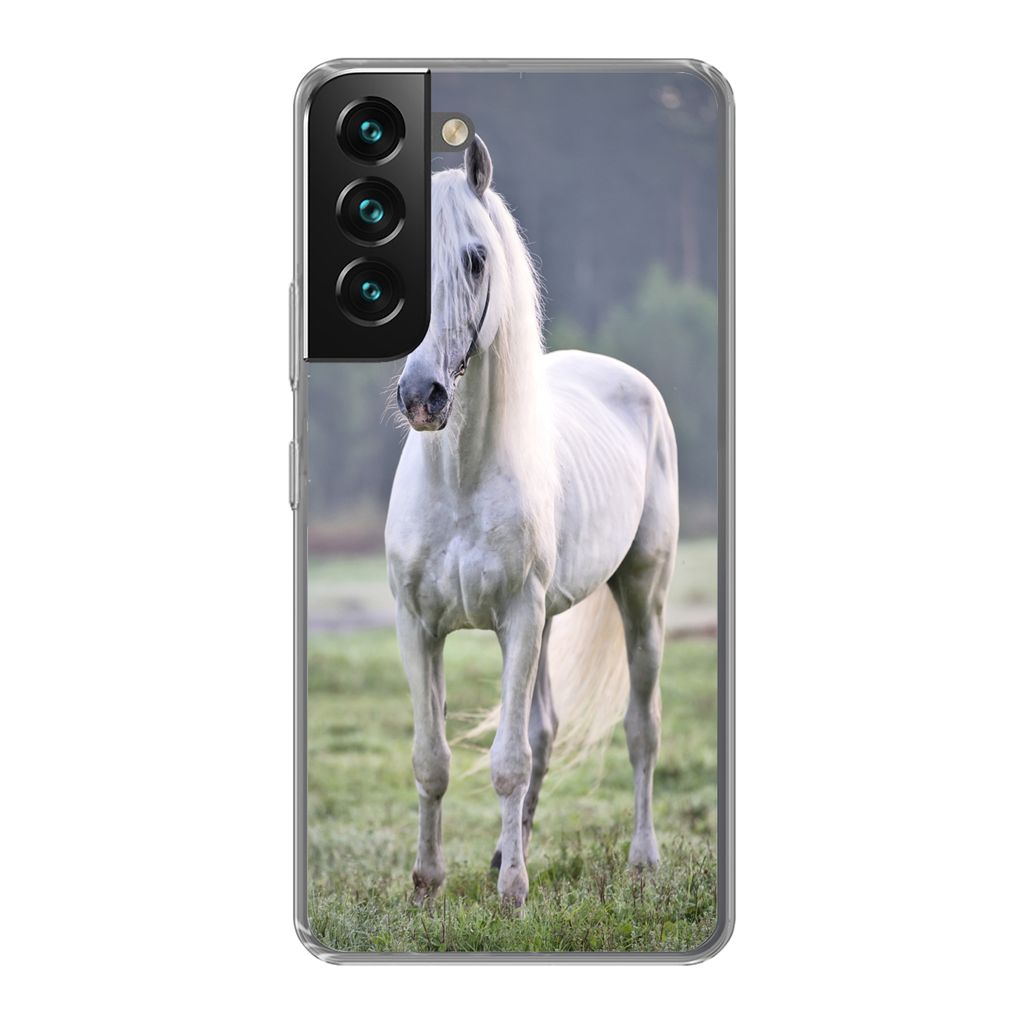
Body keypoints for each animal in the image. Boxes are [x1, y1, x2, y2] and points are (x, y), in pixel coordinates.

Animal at [385, 137, 679, 908]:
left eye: (476, 258)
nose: (422, 396)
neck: (459, 481)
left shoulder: (517, 618)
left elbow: (508, 762)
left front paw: (513, 895)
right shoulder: (419, 626)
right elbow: (431, 759)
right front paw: (427, 885)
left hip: (641, 595)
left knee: (640, 729)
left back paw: (642, 860)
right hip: (547, 620)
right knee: (545, 731)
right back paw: (500, 852)